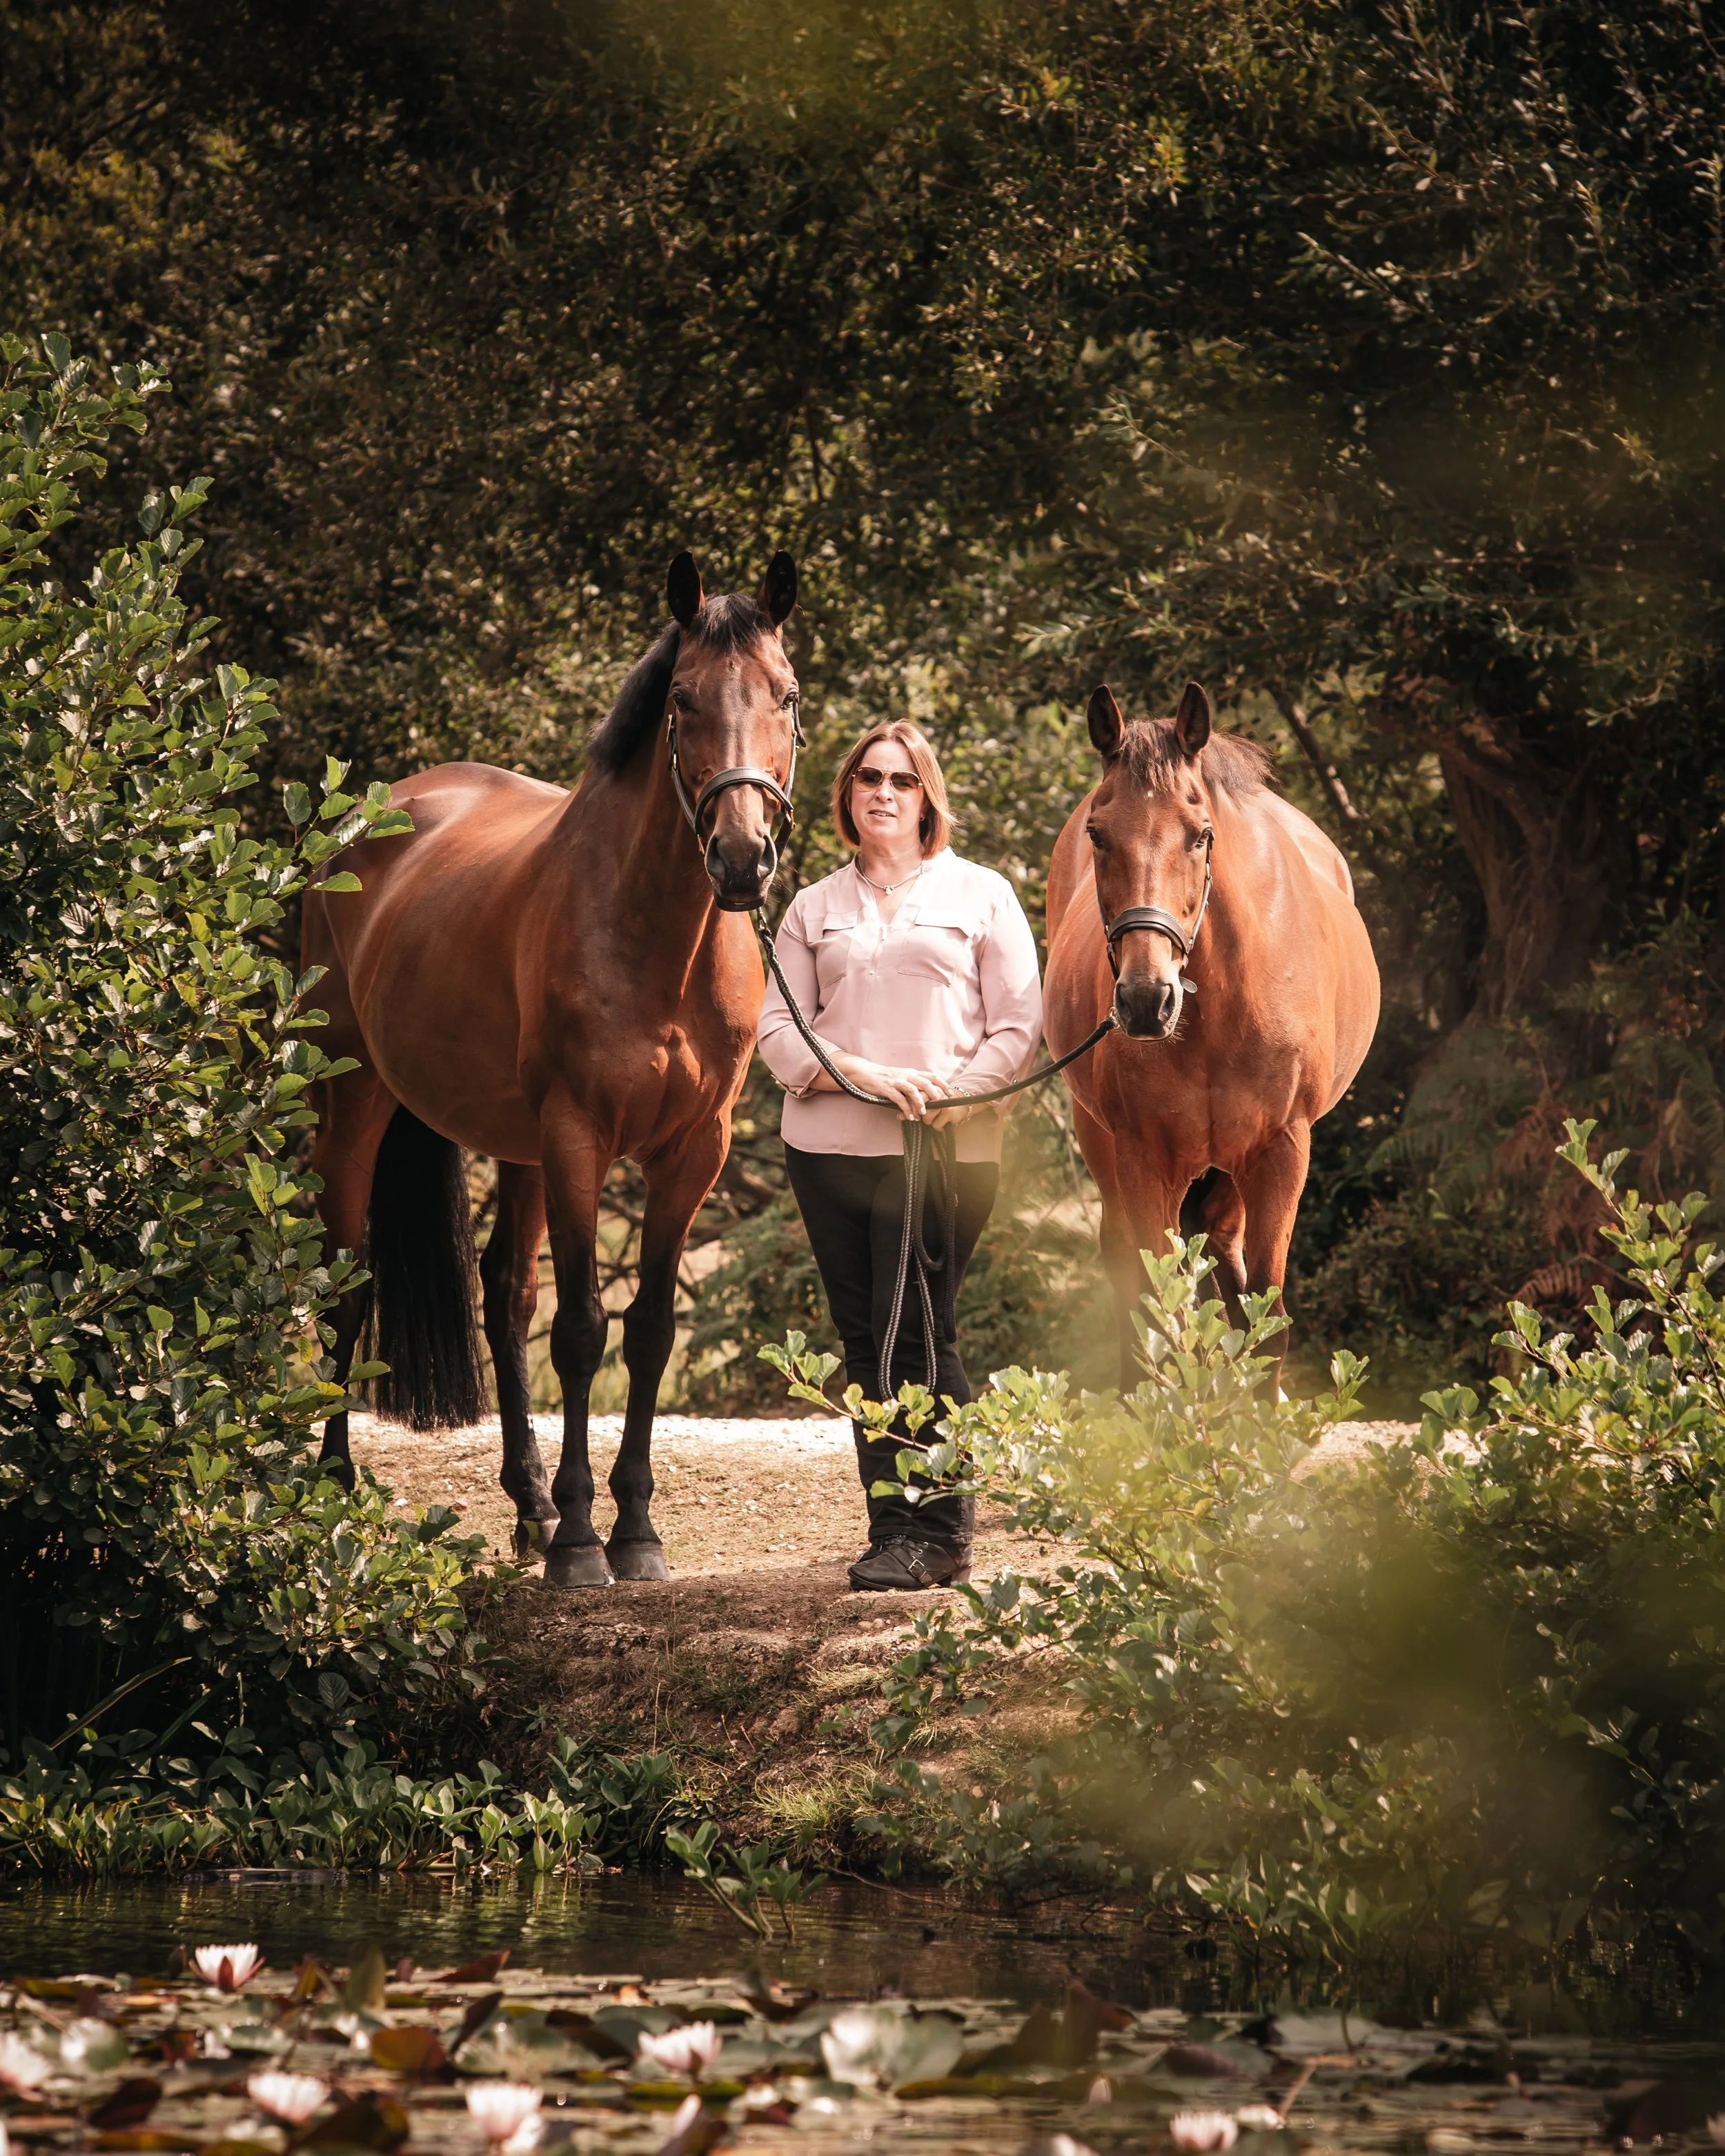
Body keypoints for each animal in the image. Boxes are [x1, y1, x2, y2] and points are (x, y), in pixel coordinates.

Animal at [300, 550, 801, 1588]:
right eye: (683, 699)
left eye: (787, 694)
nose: (741, 857)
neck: (656, 935)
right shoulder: (579, 1136)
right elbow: (579, 1331)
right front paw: (581, 1543)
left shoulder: (692, 1153)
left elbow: (646, 1330)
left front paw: (633, 1530)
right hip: (358, 1103)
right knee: (349, 1285)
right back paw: (336, 1489)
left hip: (518, 1144)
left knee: (503, 1296)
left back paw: (528, 1503)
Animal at [1044, 681, 1380, 1376]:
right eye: (1098, 834)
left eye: (1201, 835)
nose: (1146, 999)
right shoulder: (1144, 1161)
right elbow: (1159, 1314)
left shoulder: (1281, 1151)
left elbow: (1265, 1322)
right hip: (1100, 1139)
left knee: (1226, 1266)